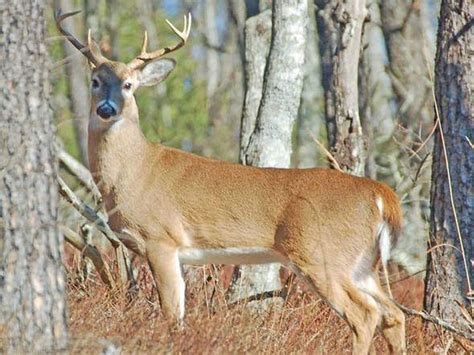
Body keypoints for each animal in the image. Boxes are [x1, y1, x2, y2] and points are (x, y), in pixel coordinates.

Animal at [54, 9, 404, 354]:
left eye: (128, 85)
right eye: (95, 81)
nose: (106, 109)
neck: (134, 172)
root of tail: (380, 194)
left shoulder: (160, 238)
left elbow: (170, 313)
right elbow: (180, 312)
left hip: (322, 253)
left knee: (365, 314)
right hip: (362, 263)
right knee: (394, 314)